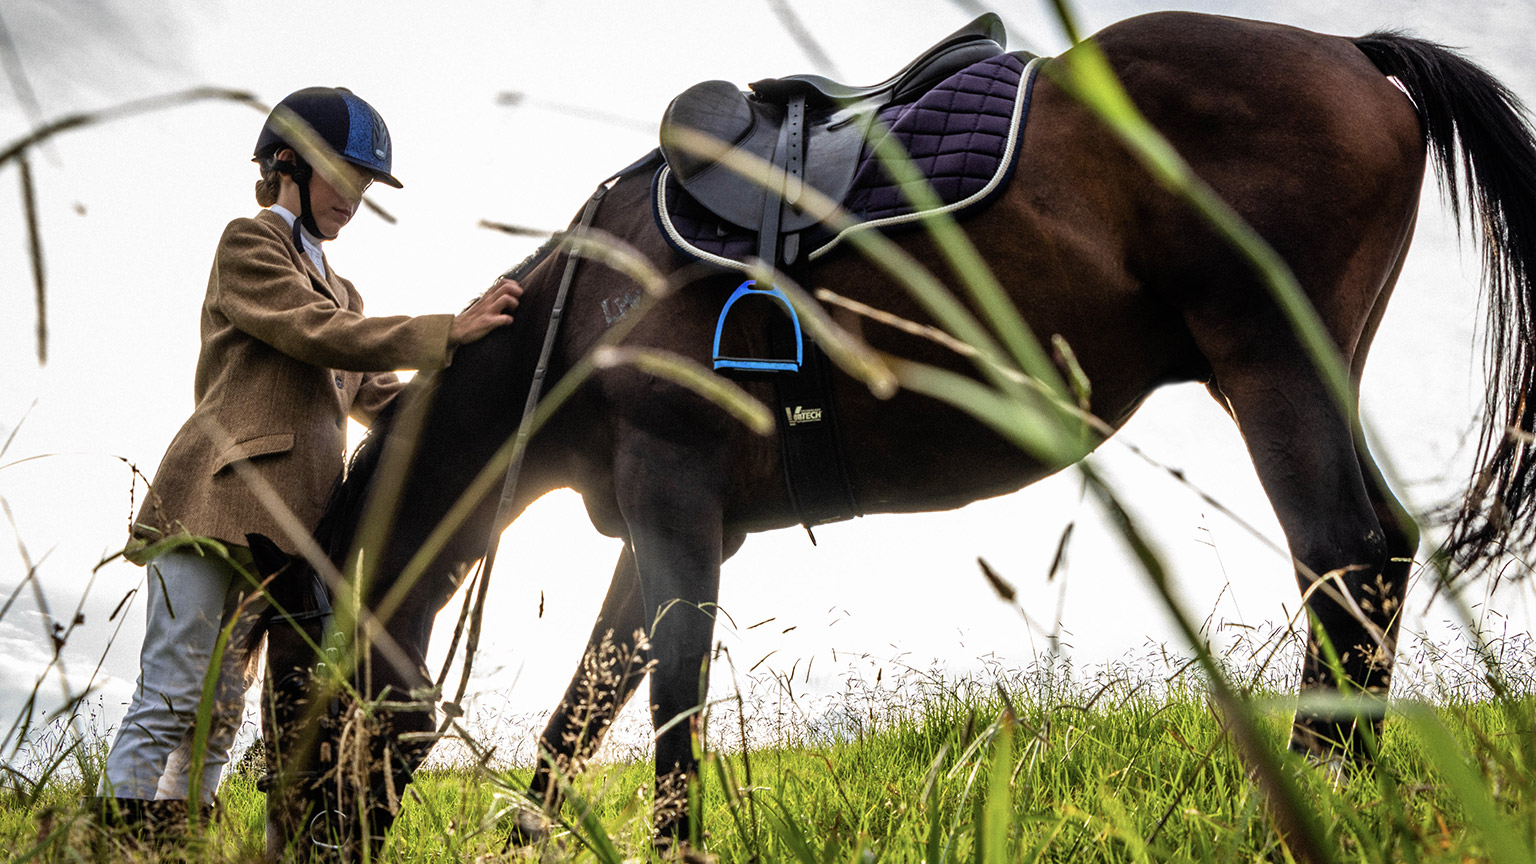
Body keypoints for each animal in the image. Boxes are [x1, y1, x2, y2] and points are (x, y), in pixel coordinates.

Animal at [258, 10, 1536, 854]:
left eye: (293, 698)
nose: (294, 839)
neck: (583, 311)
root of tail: (1350, 52)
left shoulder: (675, 498)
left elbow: (669, 705)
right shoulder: (657, 522)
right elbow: (583, 717)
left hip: (1272, 364)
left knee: (1340, 557)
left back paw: (1316, 800)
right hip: (1312, 370)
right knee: (1380, 556)